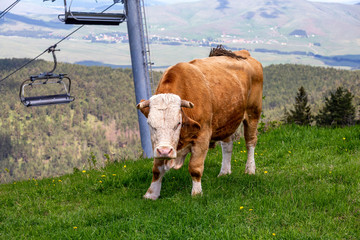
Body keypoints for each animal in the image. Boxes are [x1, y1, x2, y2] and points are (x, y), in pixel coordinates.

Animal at [136, 46, 262, 200]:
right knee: (227, 145)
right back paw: (224, 172)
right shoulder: (158, 145)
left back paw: (250, 169)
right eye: (150, 124)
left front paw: (196, 193)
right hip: (226, 119)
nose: (165, 151)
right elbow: (157, 169)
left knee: (250, 142)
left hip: (253, 113)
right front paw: (151, 194)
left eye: (178, 123)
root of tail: (243, 53)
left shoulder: (203, 136)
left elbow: (195, 168)